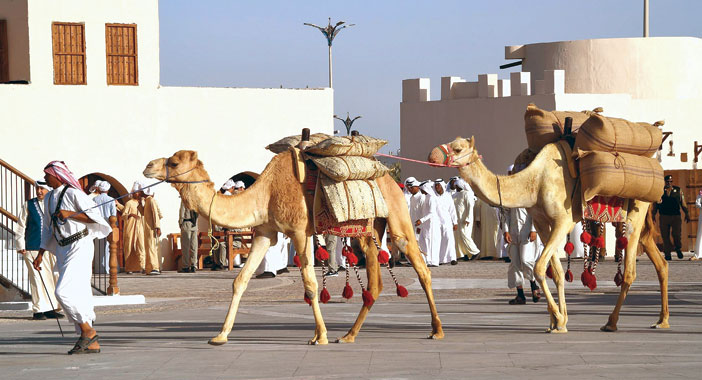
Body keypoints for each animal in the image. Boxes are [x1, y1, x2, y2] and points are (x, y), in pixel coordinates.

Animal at [142, 148, 446, 344]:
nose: (148, 166)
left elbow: (310, 285)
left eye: (173, 162)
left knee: (421, 267)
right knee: (375, 282)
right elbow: (240, 280)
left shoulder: (299, 231)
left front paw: (320, 336)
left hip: (396, 215)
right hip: (366, 230)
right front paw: (220, 335)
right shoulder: (265, 232)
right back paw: (349, 335)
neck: (265, 193)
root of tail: (389, 177)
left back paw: (436, 330)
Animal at [428, 137, 672, 332]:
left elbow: (538, 268)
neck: (534, 182)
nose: (432, 155)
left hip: (636, 213)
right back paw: (662, 320)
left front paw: (557, 318)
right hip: (638, 221)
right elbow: (556, 273)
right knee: (660, 263)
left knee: (630, 270)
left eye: (458, 148)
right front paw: (559, 321)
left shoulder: (563, 220)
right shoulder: (543, 223)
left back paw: (611, 323)